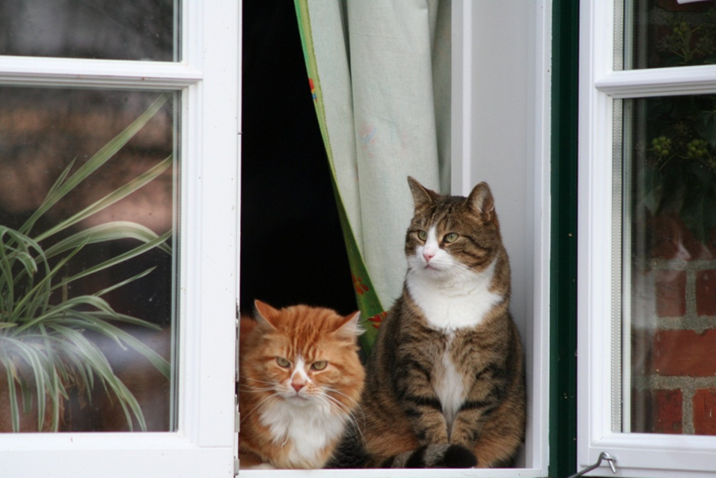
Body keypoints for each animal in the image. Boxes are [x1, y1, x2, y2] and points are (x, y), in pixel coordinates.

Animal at [330, 176, 524, 466]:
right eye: (421, 235)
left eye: (451, 237)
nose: (427, 255)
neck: (450, 294)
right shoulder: (413, 362)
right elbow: (427, 416)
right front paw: (444, 455)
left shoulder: (488, 369)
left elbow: (470, 416)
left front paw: (460, 454)